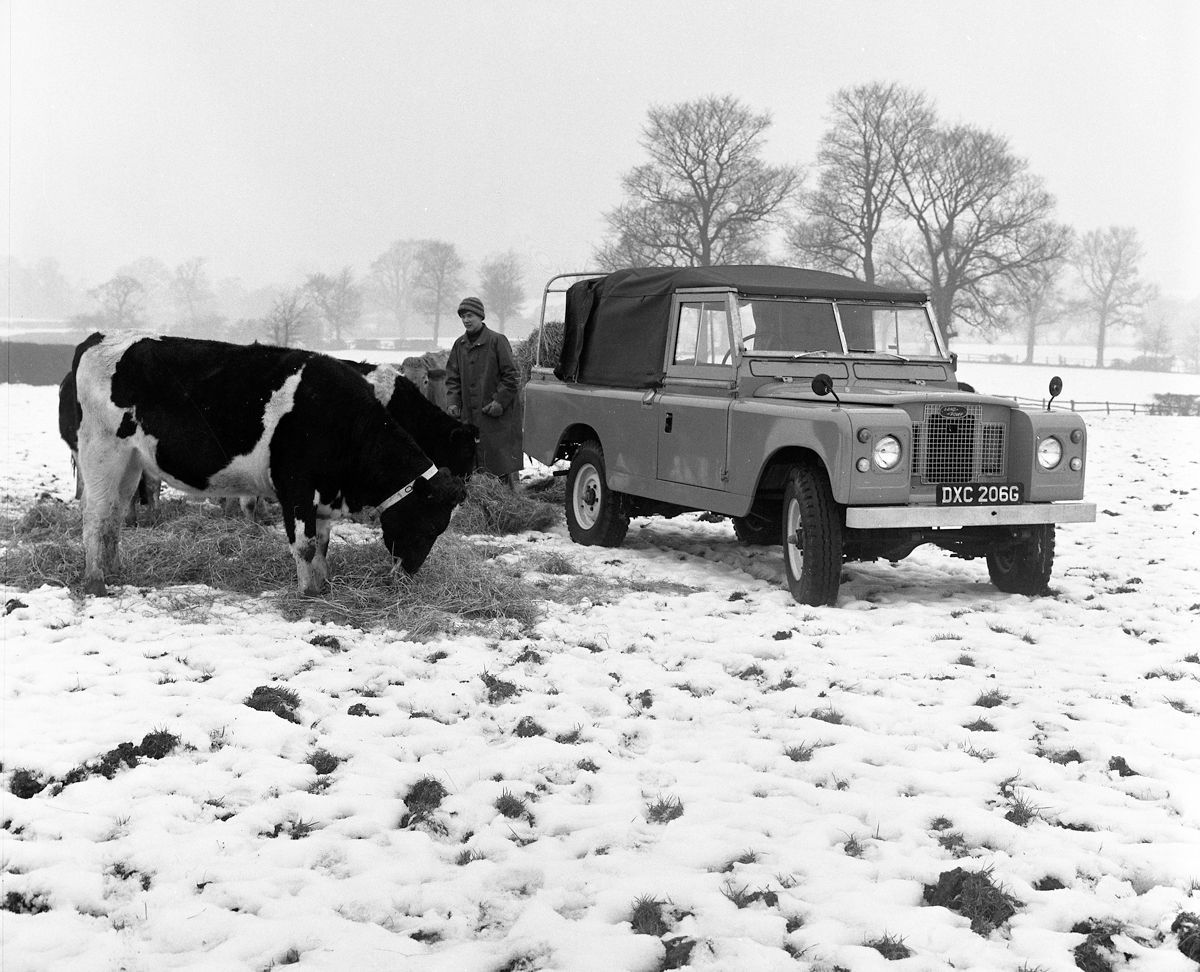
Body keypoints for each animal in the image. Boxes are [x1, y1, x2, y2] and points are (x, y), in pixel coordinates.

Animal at [68, 328, 465, 595]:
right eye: (428, 525)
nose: (407, 574)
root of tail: (100, 338)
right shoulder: (296, 486)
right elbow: (305, 544)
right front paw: (308, 593)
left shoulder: (322, 493)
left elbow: (322, 544)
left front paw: (322, 584)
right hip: (101, 453)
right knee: (95, 516)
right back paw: (95, 581)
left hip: (131, 463)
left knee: (115, 516)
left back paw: (115, 571)